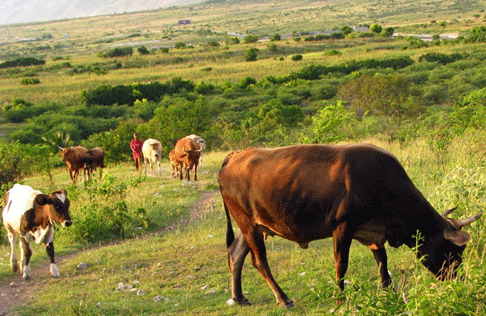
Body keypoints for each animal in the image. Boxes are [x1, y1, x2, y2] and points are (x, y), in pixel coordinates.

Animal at [219, 144, 482, 308]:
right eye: (454, 251)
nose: (458, 281)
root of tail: (235, 156)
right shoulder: (343, 226)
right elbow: (341, 264)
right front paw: (339, 299)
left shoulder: (374, 232)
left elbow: (382, 261)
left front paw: (387, 290)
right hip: (248, 223)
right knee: (259, 261)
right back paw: (283, 299)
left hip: (252, 225)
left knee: (236, 254)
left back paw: (239, 297)